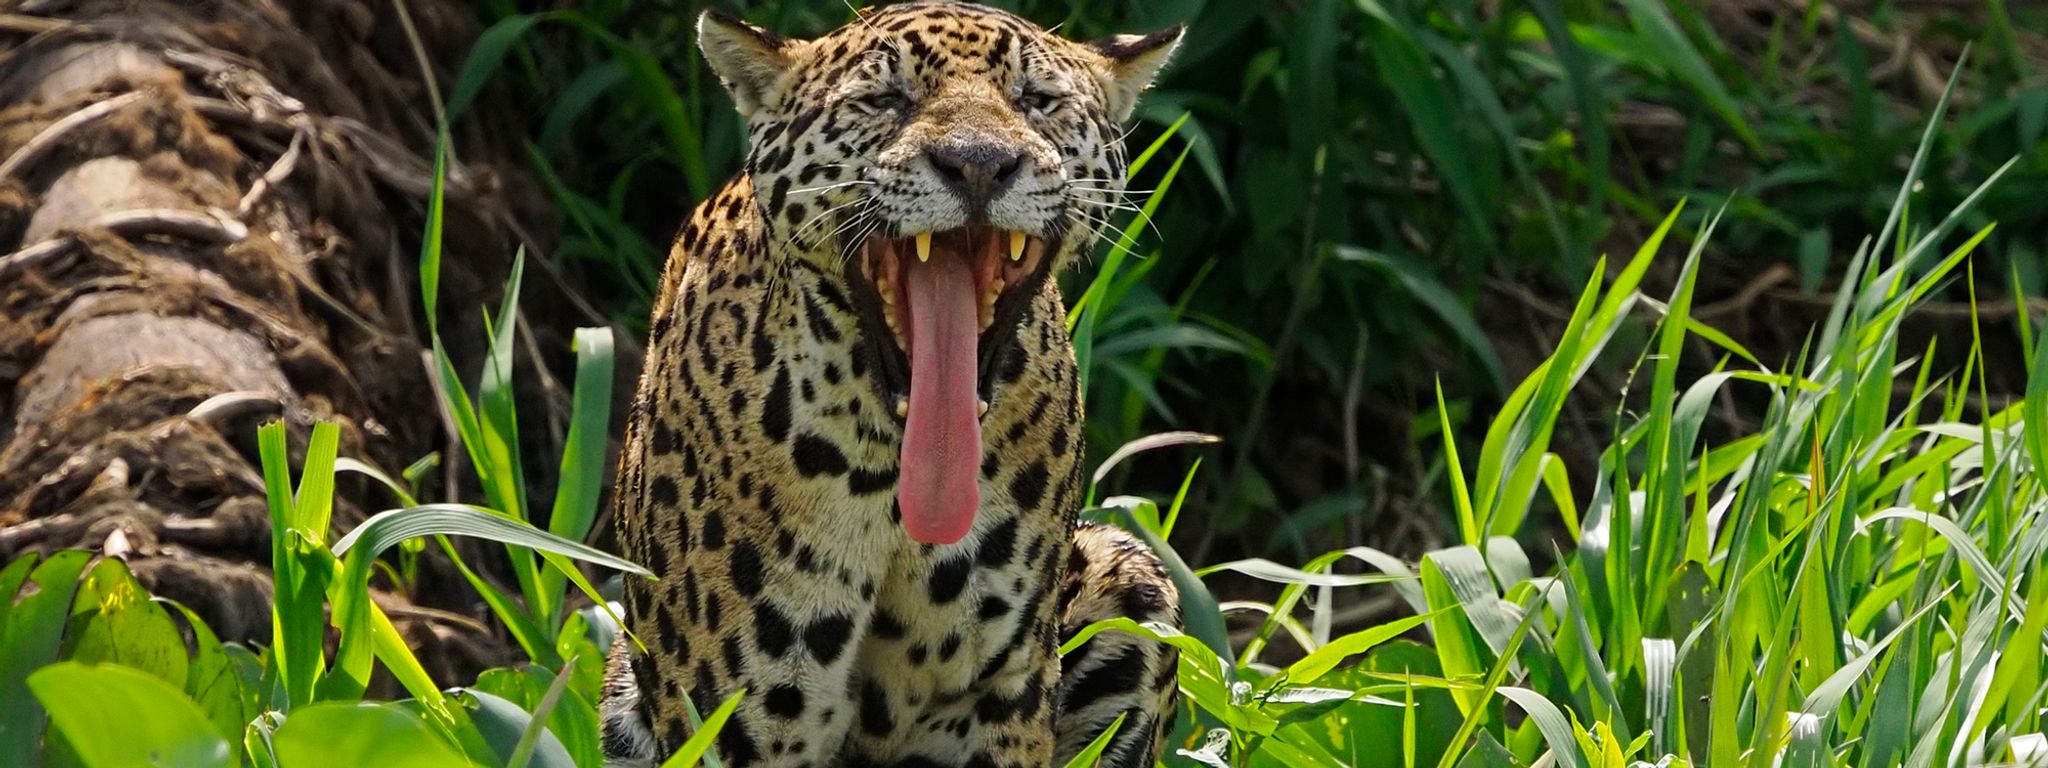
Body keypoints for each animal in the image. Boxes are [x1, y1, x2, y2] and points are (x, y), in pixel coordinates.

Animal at [600, 3, 1187, 766]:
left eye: (1037, 100)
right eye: (885, 100)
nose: (979, 165)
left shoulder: (1000, 692)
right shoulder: (738, 708)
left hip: (1132, 575)